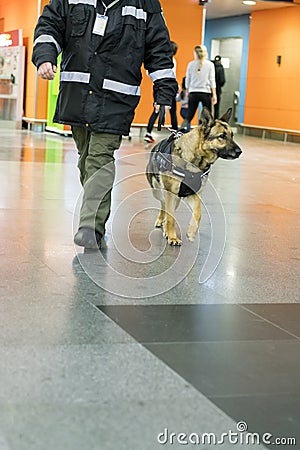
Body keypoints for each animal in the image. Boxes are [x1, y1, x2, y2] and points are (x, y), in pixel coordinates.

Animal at [145, 106, 241, 246]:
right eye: (222, 136)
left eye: (232, 136)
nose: (240, 152)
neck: (195, 161)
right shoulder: (170, 194)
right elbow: (170, 217)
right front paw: (172, 237)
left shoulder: (194, 194)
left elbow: (198, 213)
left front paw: (191, 232)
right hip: (159, 192)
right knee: (164, 206)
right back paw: (163, 224)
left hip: (176, 199)